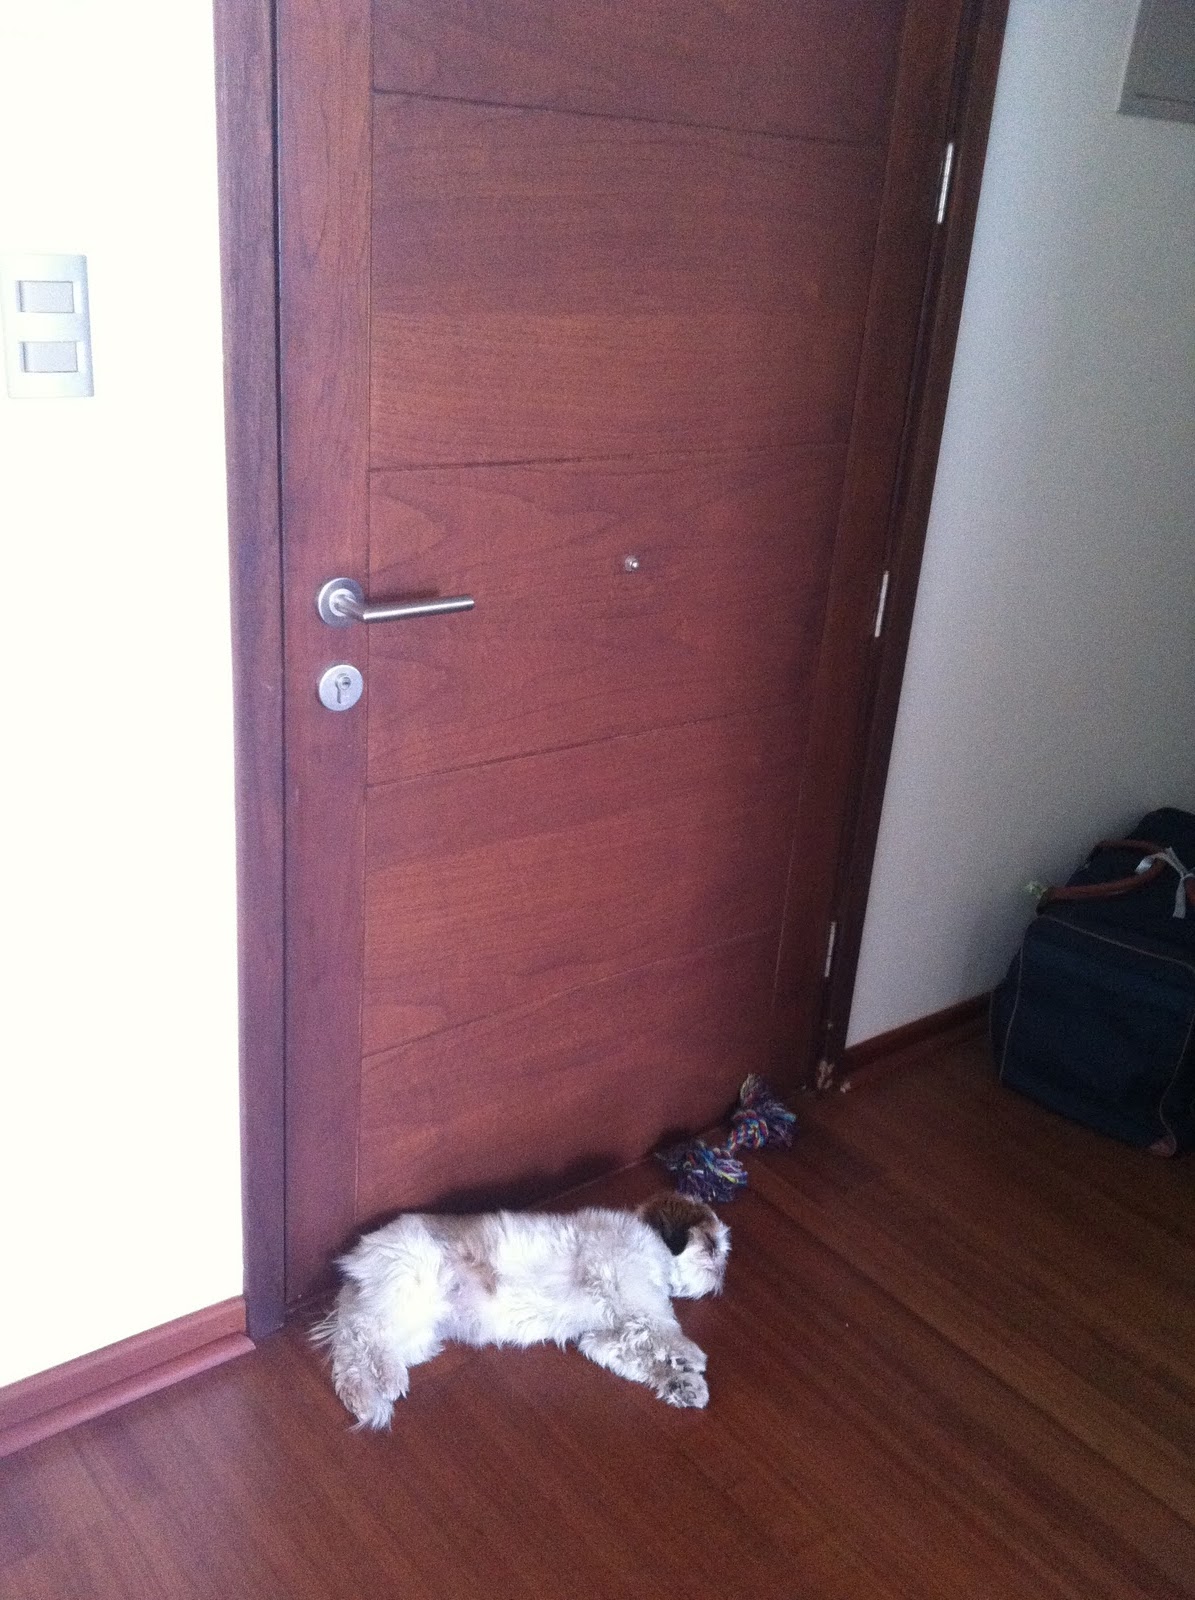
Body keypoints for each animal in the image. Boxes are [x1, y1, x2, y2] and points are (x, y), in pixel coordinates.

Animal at [314, 1192, 730, 1427]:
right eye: (711, 1247)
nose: (721, 1274)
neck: (654, 1246)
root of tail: (358, 1262)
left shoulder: (602, 1337)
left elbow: (640, 1353)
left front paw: (683, 1385)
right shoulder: (630, 1287)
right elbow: (662, 1328)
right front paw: (689, 1356)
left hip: (417, 1331)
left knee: (354, 1356)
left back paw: (368, 1393)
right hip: (410, 1285)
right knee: (365, 1332)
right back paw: (387, 1378)